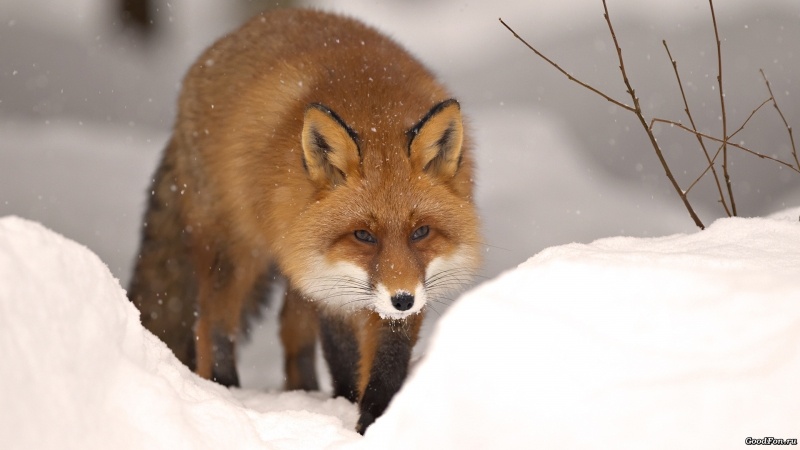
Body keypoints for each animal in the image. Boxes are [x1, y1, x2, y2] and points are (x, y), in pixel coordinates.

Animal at [130, 8, 482, 434]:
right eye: (363, 235)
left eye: (421, 232)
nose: (402, 299)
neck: (374, 109)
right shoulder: (331, 285)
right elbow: (344, 356)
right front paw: (350, 409)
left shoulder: (393, 286)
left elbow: (387, 363)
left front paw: (376, 420)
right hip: (237, 252)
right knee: (211, 323)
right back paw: (225, 389)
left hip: (295, 263)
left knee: (290, 328)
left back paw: (305, 392)